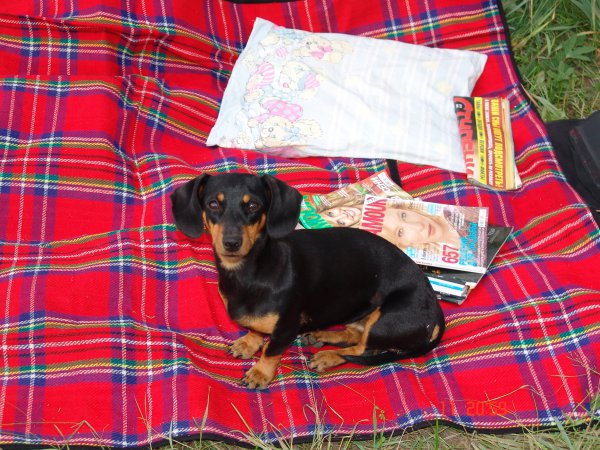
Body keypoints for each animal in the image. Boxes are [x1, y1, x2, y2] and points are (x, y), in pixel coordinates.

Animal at [171, 173, 445, 389]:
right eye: (213, 204)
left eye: (254, 205)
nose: (231, 243)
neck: (251, 272)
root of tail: (435, 309)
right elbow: (254, 328)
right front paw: (248, 343)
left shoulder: (287, 326)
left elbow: (271, 350)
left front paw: (260, 373)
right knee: (355, 333)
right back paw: (323, 335)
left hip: (386, 319)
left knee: (361, 350)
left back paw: (328, 356)